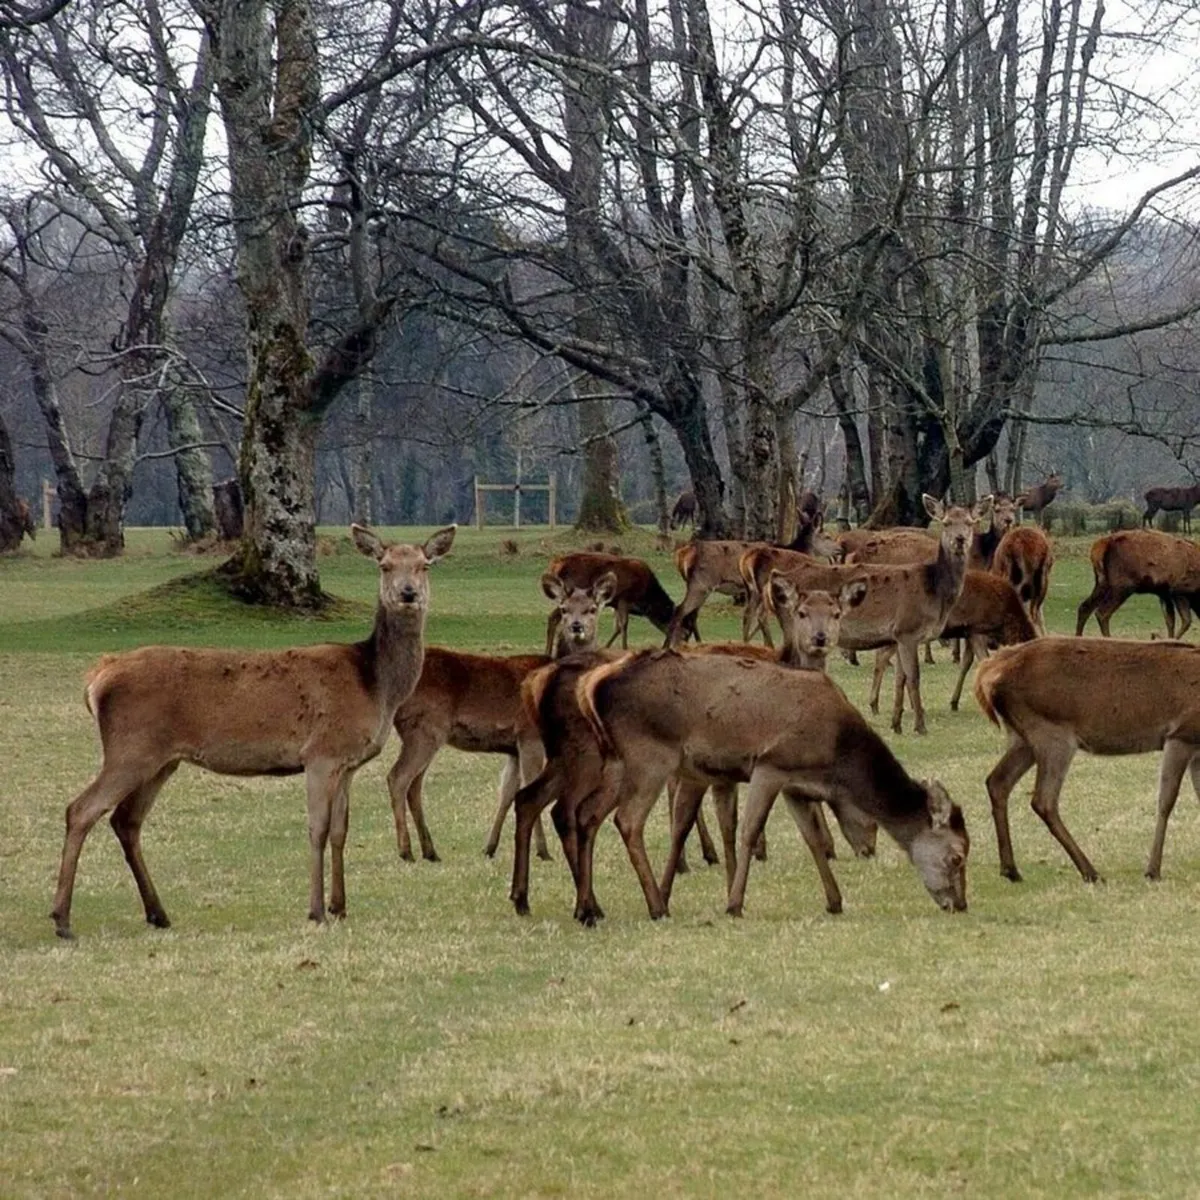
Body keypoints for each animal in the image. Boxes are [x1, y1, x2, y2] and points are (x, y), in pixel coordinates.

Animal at [50, 524, 456, 940]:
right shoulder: (321, 754)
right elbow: (318, 829)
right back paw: (63, 920)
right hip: (130, 749)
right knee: (81, 809)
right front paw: (316, 911)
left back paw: (157, 914)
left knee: (126, 820)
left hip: (160, 760)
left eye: (424, 566)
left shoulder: (348, 763)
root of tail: (97, 677)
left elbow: (341, 831)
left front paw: (340, 906)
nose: (408, 593)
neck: (375, 685)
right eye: (384, 565)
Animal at [386, 571, 615, 868]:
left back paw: (430, 850)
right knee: (398, 778)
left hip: (424, 733)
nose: (577, 626)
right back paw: (406, 851)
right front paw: (543, 851)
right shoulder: (529, 736)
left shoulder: (513, 748)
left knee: (414, 785)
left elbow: (507, 792)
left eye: (592, 608)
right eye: (564, 609)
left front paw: (489, 847)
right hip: (424, 729)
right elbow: (529, 789)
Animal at [542, 551, 687, 652]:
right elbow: (624, 625)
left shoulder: (616, 604)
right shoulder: (624, 598)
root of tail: (555, 565)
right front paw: (624, 649)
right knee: (553, 617)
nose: (681, 648)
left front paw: (605, 648)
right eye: (685, 633)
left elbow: (617, 627)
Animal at [571, 651, 970, 925]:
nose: (960, 904)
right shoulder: (770, 765)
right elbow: (750, 832)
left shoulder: (795, 784)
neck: (834, 757)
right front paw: (734, 904)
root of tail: (593, 684)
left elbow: (813, 839)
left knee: (586, 814)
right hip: (650, 757)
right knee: (627, 820)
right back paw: (655, 906)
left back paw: (588, 909)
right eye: (957, 857)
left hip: (617, 762)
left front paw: (835, 901)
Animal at [975, 637, 1200, 884]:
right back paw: (1090, 872)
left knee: (997, 781)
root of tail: (987, 672)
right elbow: (1166, 802)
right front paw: (1152, 871)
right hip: (1052, 734)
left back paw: (1010, 869)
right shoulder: (1181, 735)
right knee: (1043, 800)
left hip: (1022, 738)